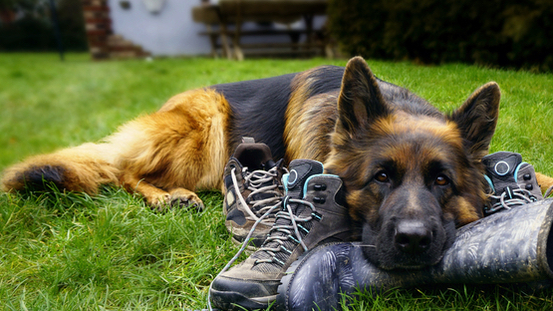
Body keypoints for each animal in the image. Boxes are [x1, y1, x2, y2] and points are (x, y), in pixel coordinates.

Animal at [1, 58, 552, 270]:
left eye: (442, 181)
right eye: (380, 178)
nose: (413, 242)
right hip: (207, 124)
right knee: (126, 171)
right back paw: (168, 195)